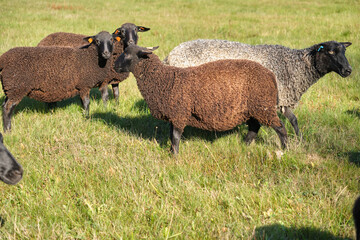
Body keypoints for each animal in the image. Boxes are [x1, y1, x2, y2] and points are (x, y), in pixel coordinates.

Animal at [114, 44, 288, 154]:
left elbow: (175, 137)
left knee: (280, 127)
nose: (114, 66)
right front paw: (171, 152)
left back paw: (285, 149)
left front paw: (174, 156)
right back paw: (244, 145)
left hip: (262, 105)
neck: (165, 79)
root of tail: (270, 75)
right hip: (252, 108)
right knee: (254, 127)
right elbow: (171, 136)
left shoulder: (179, 113)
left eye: (127, 54)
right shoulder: (174, 114)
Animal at [165, 39, 352, 137]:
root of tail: (171, 55)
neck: (293, 65)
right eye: (331, 52)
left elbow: (293, 120)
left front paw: (299, 141)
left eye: (344, 51)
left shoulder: (282, 97)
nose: (348, 70)